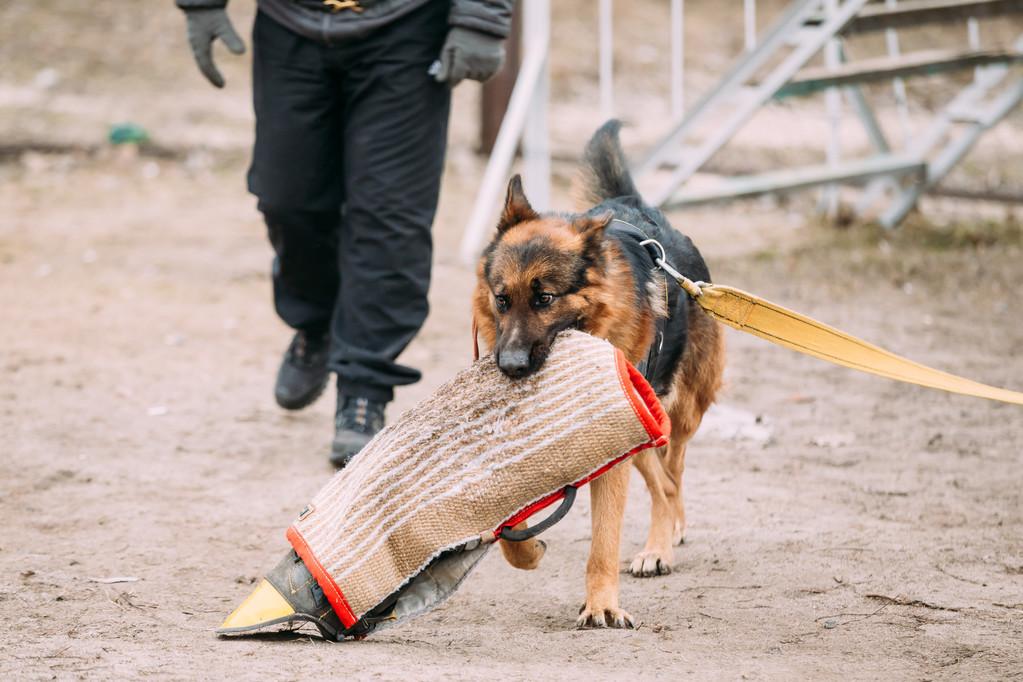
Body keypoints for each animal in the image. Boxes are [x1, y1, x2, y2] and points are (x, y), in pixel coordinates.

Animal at [472, 121, 728, 629]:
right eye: (502, 299)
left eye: (545, 299)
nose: (510, 367)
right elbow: (512, 525)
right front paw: (527, 552)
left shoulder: (615, 453)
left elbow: (604, 538)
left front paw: (602, 606)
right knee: (664, 481)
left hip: (666, 417)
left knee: (670, 479)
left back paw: (658, 547)